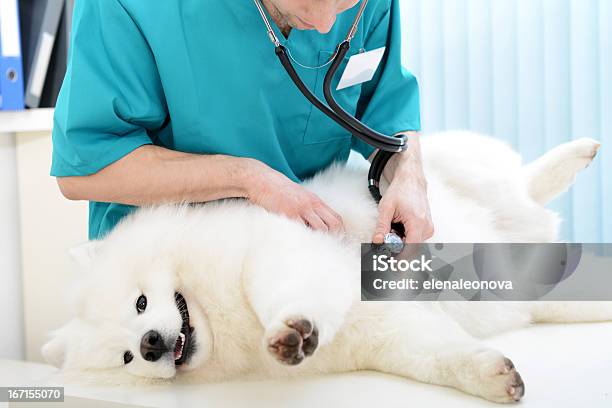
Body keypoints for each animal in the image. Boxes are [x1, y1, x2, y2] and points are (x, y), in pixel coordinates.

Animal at [40, 132, 608, 404]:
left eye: (140, 303)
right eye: (126, 358)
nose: (151, 344)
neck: (220, 318)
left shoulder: (280, 249)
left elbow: (280, 287)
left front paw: (289, 329)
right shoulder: (383, 335)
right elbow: (436, 355)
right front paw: (492, 377)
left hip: (455, 173)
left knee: (522, 182)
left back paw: (574, 155)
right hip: (538, 293)